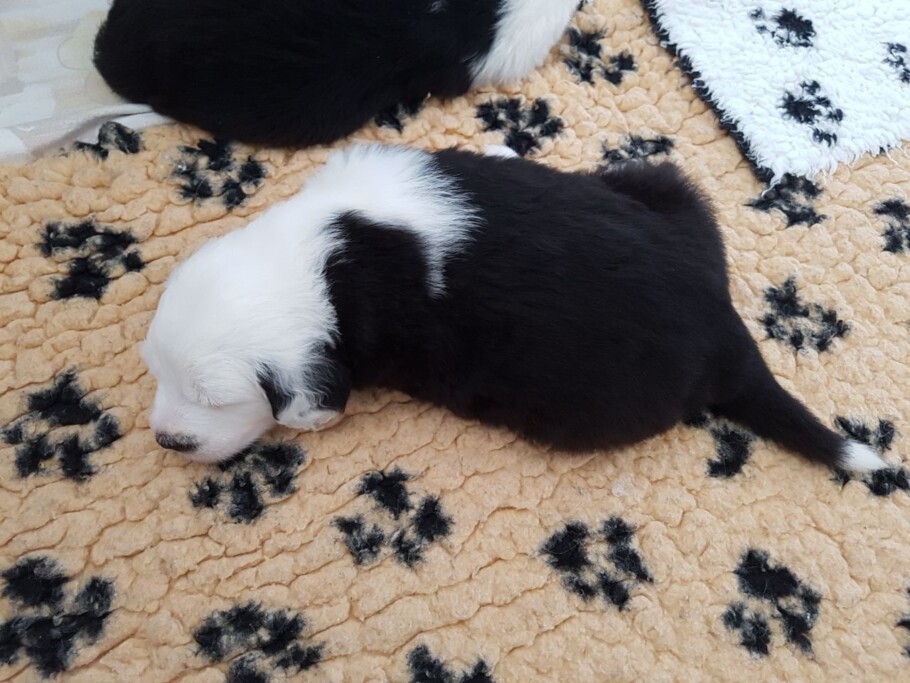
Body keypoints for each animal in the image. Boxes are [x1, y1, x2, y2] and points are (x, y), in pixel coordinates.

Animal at [142, 143, 888, 476]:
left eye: (213, 400)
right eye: (155, 373)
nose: (166, 441)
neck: (316, 252)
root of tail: (725, 328)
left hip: (587, 402)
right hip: (663, 184)